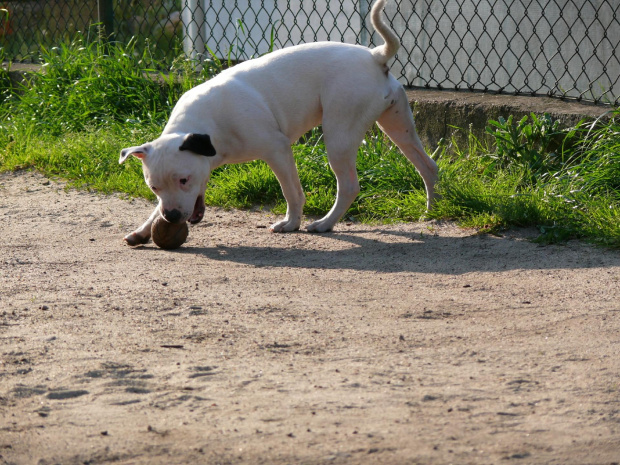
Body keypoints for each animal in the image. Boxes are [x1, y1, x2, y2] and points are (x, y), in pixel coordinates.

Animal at [120, 0, 436, 246]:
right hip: (398, 127)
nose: (172, 217)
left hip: (339, 137)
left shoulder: (277, 150)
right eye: (153, 188)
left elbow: (292, 192)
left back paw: (325, 223)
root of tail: (374, 55)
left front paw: (291, 223)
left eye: (184, 180)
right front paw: (143, 230)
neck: (209, 128)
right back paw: (432, 209)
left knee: (348, 185)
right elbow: (155, 208)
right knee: (427, 166)